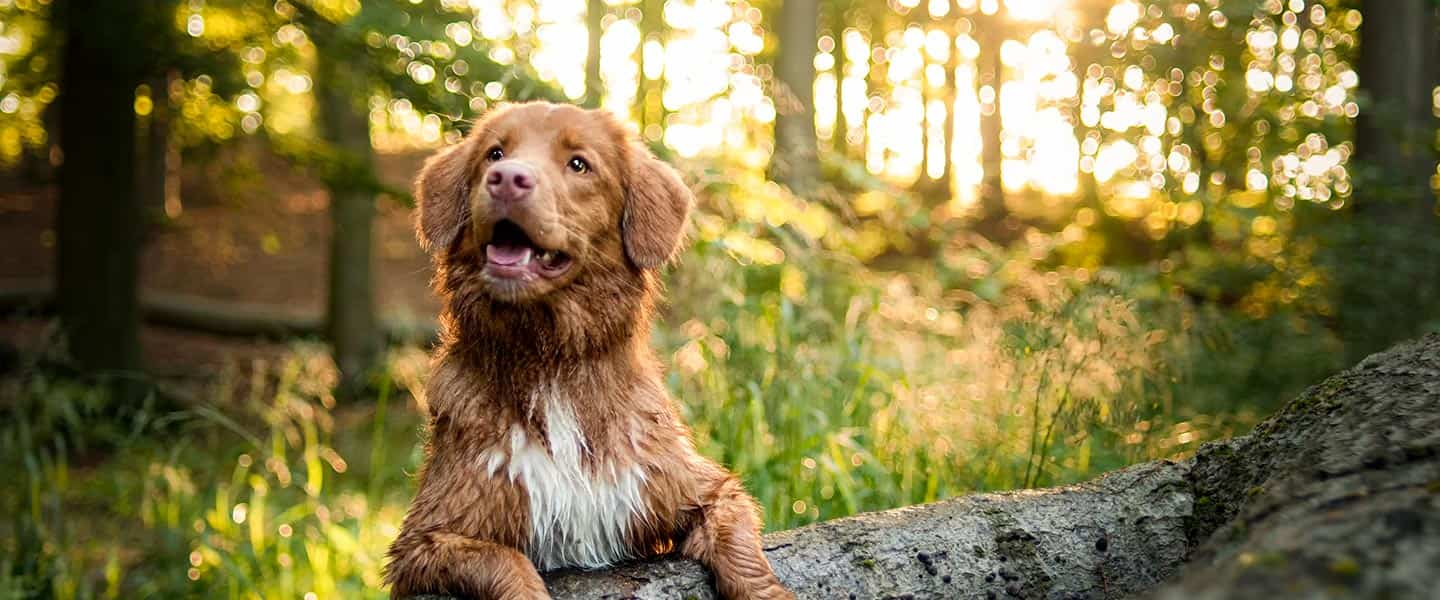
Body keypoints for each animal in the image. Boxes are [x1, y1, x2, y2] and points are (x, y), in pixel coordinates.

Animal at [385, 102, 789, 598]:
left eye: (579, 164)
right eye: (494, 153)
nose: (506, 177)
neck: (552, 358)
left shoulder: (697, 486)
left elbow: (743, 551)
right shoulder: (424, 541)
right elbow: (506, 562)